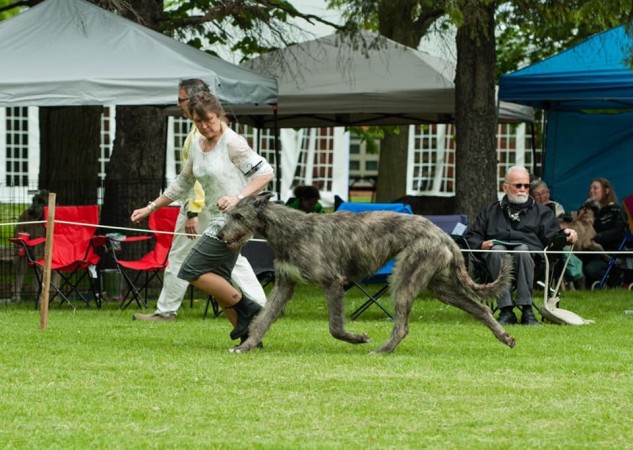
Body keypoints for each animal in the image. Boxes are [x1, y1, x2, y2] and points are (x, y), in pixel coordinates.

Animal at [217, 193, 512, 356]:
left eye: (239, 216)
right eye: (229, 213)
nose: (219, 235)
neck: (289, 229)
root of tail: (443, 234)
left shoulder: (332, 281)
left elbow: (335, 327)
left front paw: (357, 338)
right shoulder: (284, 284)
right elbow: (262, 319)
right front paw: (244, 347)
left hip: (405, 276)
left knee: (402, 325)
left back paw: (382, 350)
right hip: (439, 284)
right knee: (480, 308)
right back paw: (504, 336)